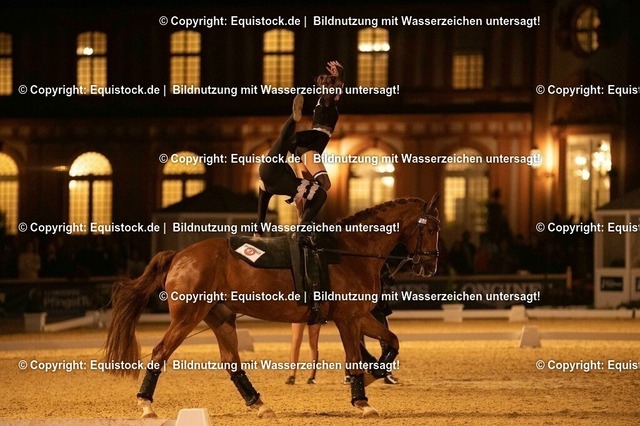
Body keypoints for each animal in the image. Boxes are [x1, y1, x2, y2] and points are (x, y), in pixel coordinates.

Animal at [104, 196, 440, 419]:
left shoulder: (360, 316)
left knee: (232, 362)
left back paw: (259, 404)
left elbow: (391, 342)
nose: (430, 266)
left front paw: (373, 376)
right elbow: (356, 358)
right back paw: (146, 405)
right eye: (431, 228)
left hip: (220, 318)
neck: (350, 252)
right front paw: (363, 401)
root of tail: (180, 255)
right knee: (160, 353)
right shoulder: (348, 319)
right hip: (188, 318)